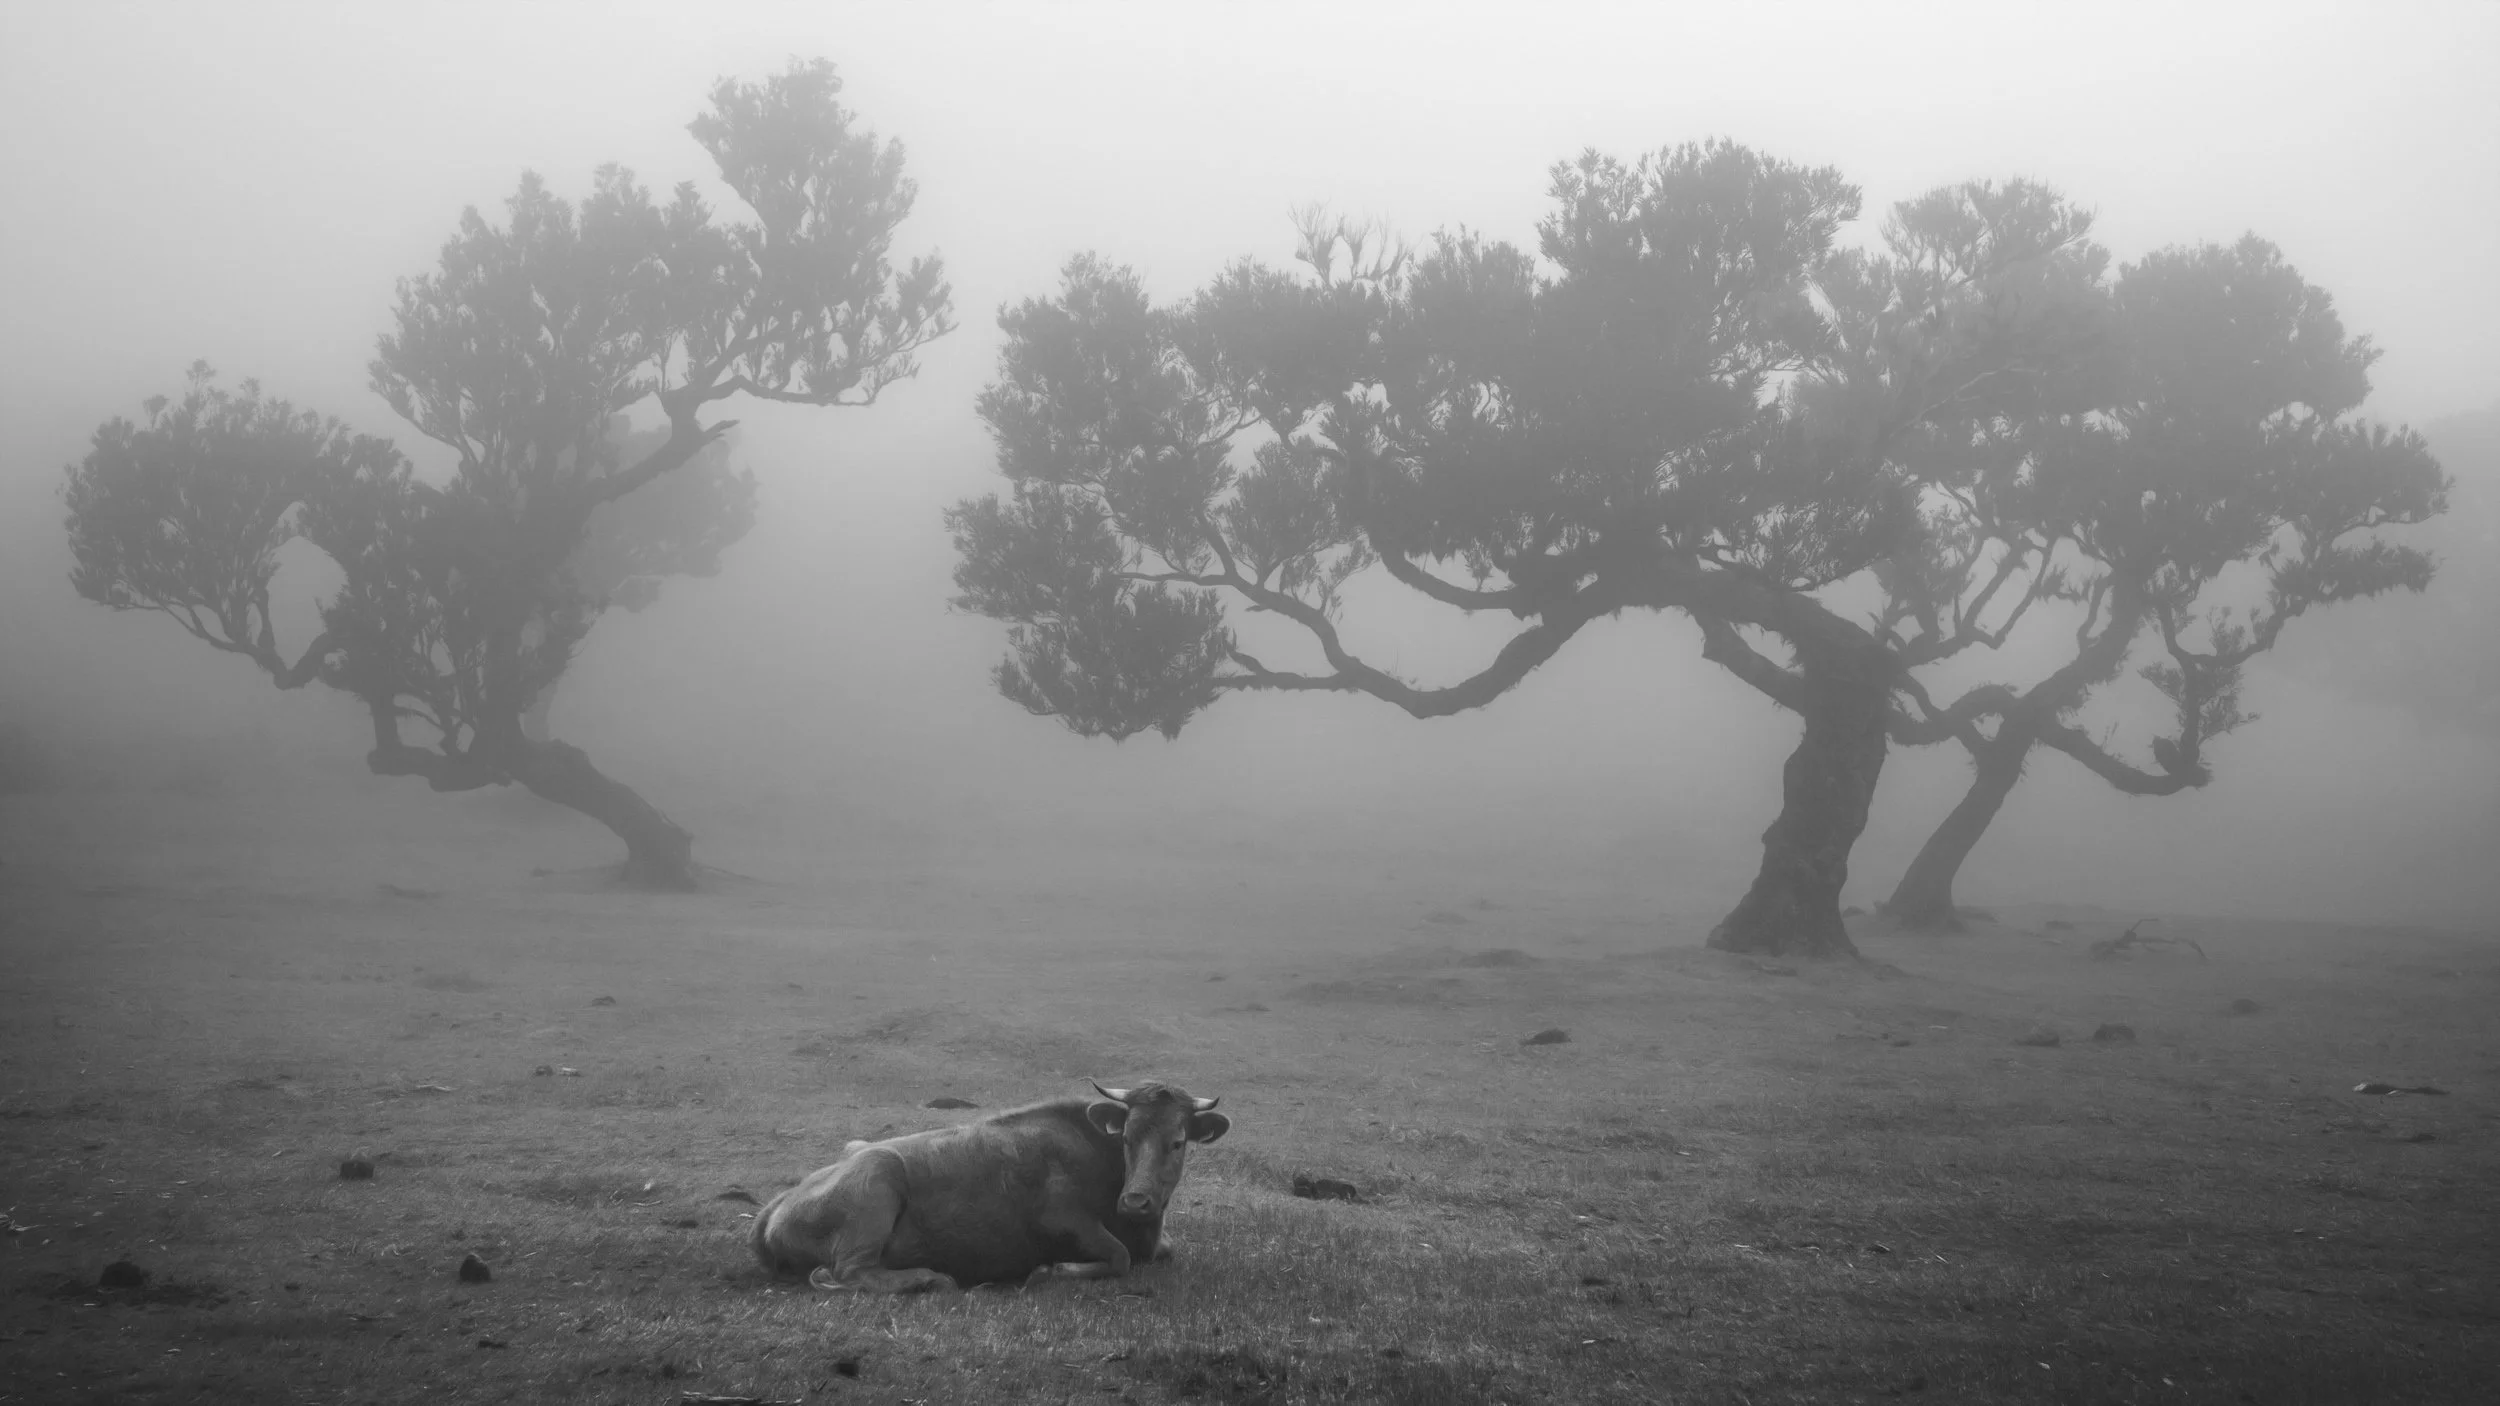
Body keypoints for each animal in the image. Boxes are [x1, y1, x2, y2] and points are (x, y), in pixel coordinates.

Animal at [751, 1080, 1231, 1292]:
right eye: (1127, 1137)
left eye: (1177, 1142)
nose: (1135, 1200)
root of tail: (780, 1202)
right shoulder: (1061, 1217)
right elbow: (1119, 1256)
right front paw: (1051, 1270)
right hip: (878, 1175)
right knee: (851, 1272)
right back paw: (930, 1277)